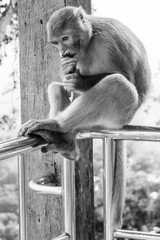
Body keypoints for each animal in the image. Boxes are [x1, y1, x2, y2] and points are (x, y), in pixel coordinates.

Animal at [18, 6, 151, 230]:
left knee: (118, 84)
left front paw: (79, 81)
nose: (63, 52)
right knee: (57, 87)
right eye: (56, 42)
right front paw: (65, 70)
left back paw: (57, 124)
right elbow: (64, 80)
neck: (90, 39)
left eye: (65, 38)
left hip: (120, 115)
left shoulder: (109, 42)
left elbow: (125, 76)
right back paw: (66, 141)